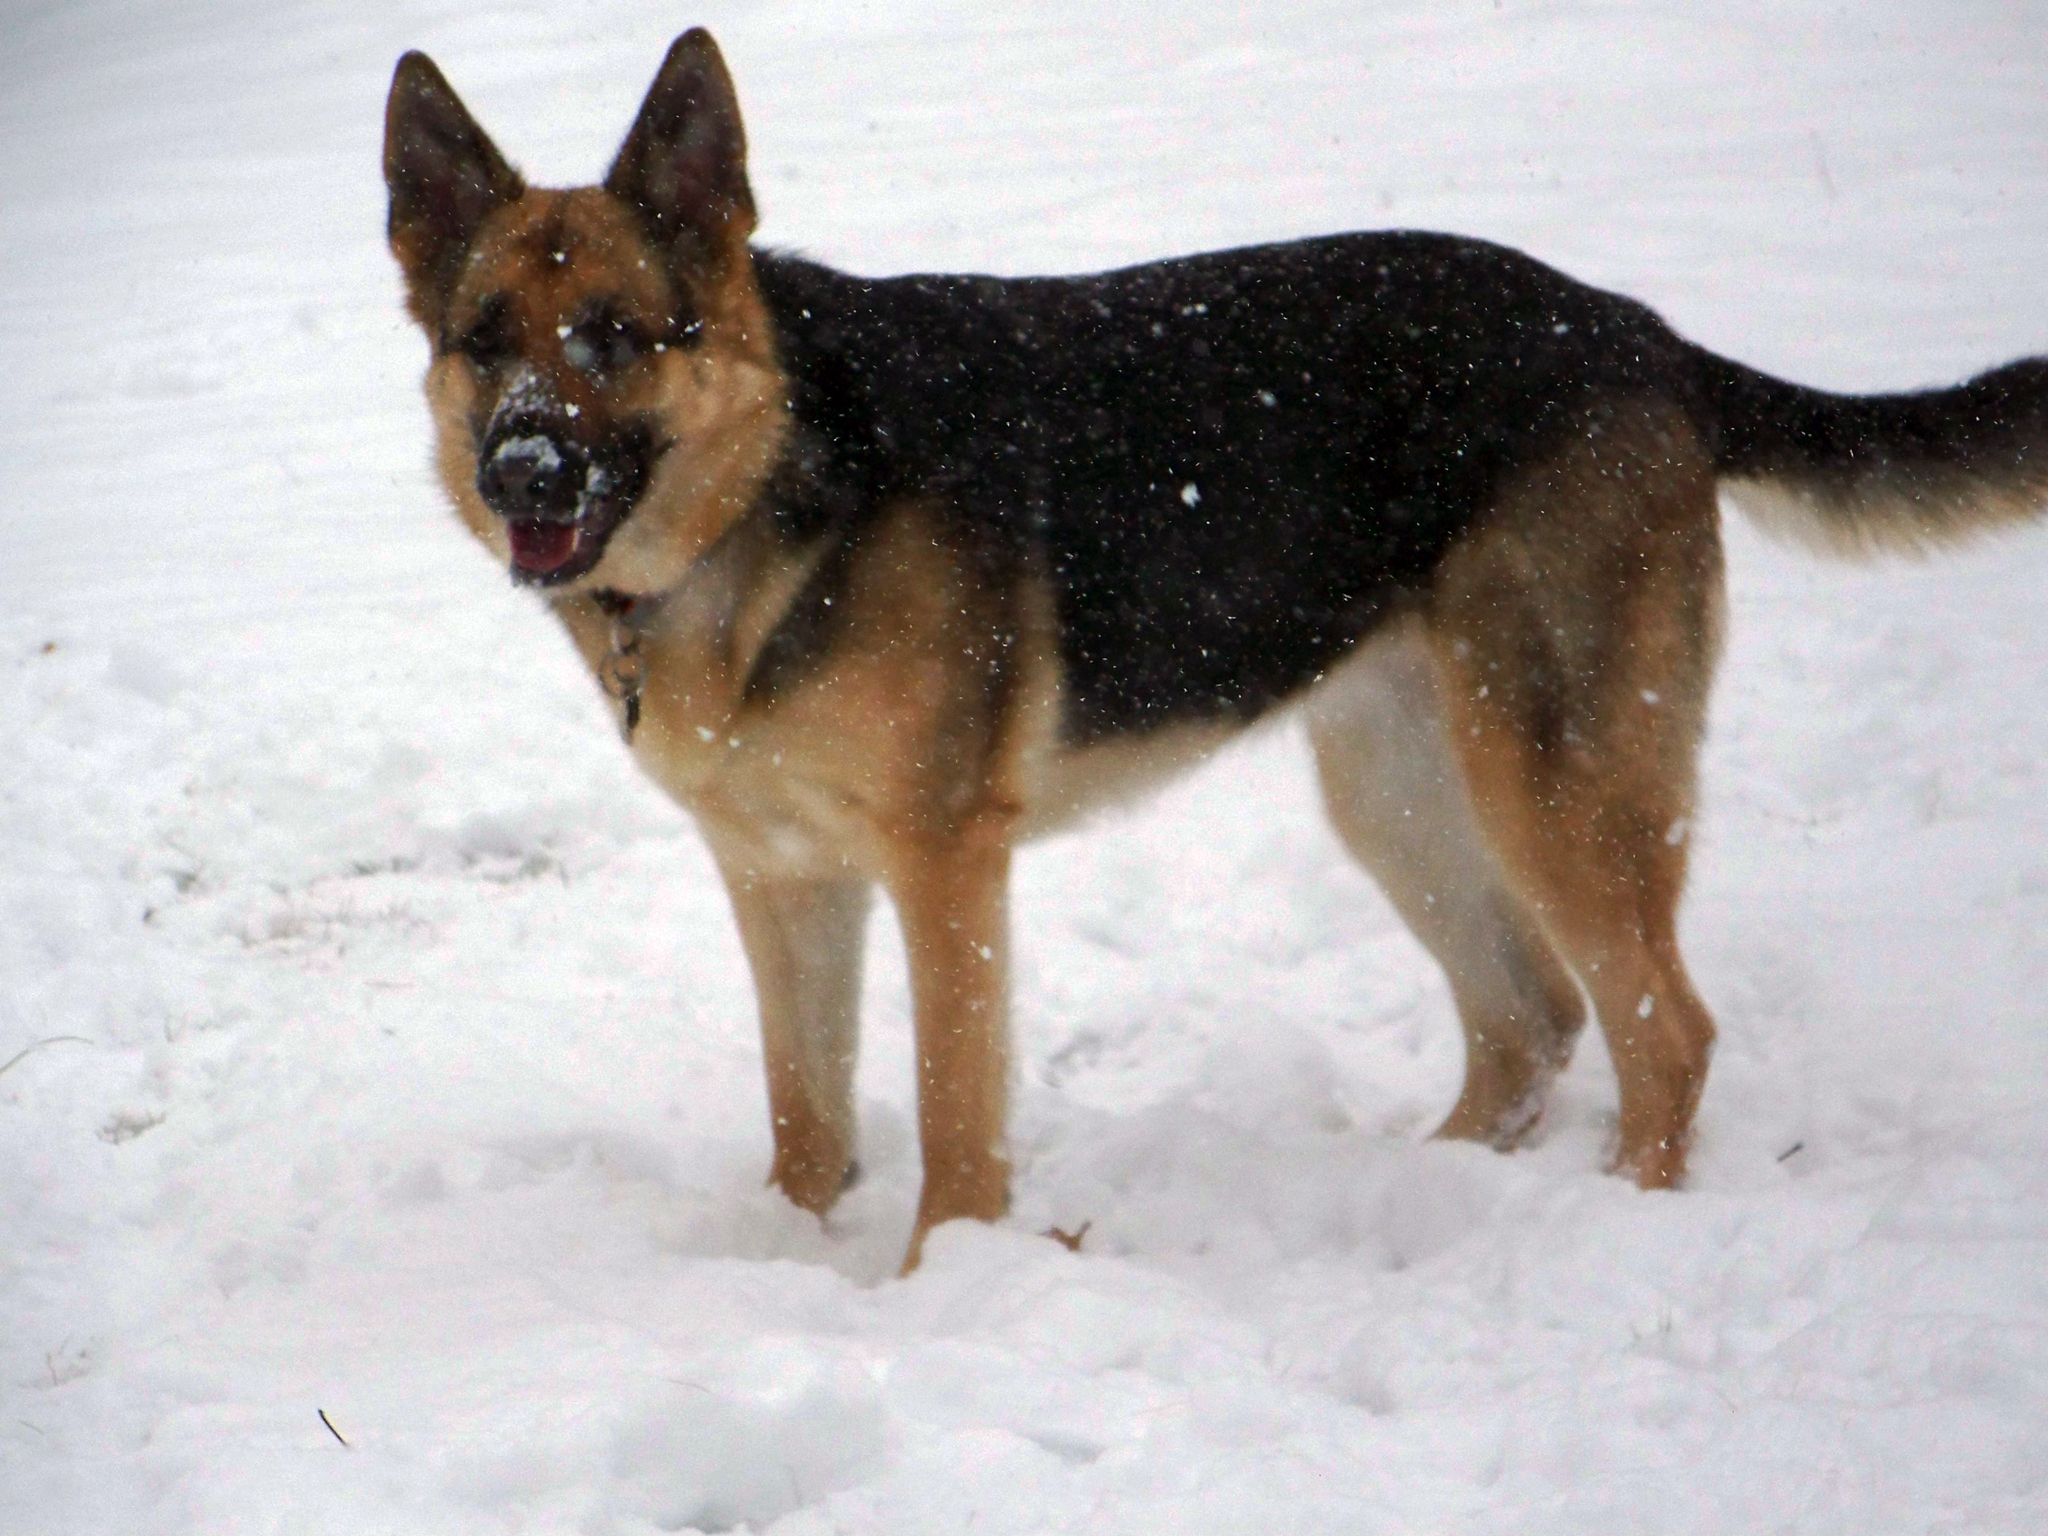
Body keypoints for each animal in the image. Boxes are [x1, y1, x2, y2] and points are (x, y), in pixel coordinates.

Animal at [385, 33, 2048, 1277]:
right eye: (485, 339)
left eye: (615, 335)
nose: (524, 469)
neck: (765, 496)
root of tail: (1642, 334)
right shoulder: (783, 882)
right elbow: (807, 1121)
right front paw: (792, 1271)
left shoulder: (944, 867)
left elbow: (952, 1117)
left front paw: (939, 1292)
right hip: (1399, 794)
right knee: (1532, 1022)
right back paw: (1438, 1198)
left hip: (1554, 787)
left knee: (1667, 1034)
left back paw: (1618, 1230)